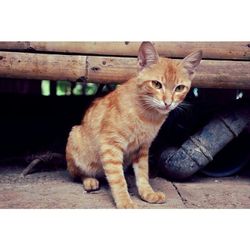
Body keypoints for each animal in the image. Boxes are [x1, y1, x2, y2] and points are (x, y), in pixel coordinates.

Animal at [65, 42, 202, 208]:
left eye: (179, 88)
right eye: (156, 84)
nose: (168, 103)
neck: (148, 116)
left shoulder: (142, 147)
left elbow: (143, 174)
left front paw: (147, 193)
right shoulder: (111, 146)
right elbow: (117, 179)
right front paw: (124, 201)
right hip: (75, 138)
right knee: (79, 174)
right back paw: (90, 180)